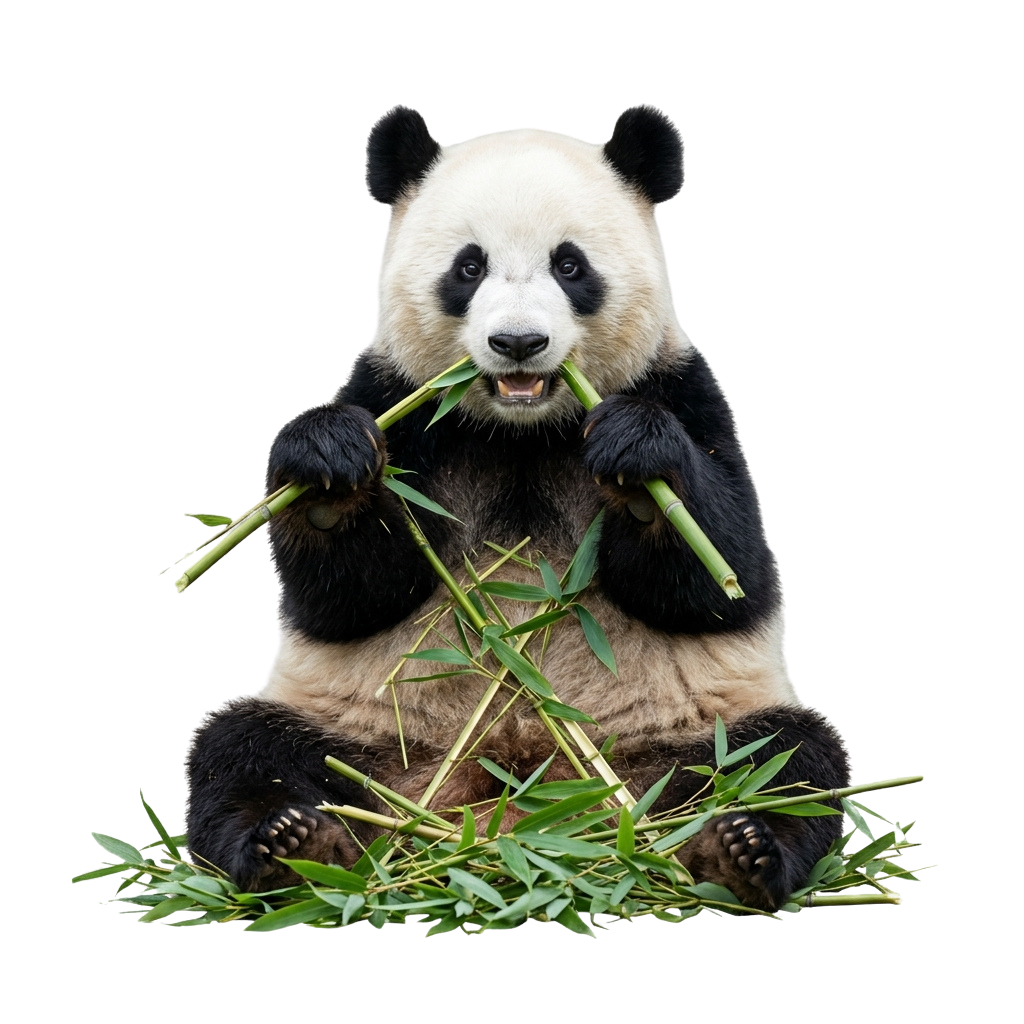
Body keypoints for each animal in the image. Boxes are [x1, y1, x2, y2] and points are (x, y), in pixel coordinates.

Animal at [185, 104, 852, 913]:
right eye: (468, 267)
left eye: (570, 265)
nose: (518, 342)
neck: (522, 431)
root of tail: (514, 805)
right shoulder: (397, 398)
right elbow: (345, 600)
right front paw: (326, 470)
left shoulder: (681, 386)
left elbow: (728, 575)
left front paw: (637, 458)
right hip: (353, 729)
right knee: (246, 750)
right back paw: (294, 846)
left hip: (691, 733)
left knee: (787, 764)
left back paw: (734, 851)